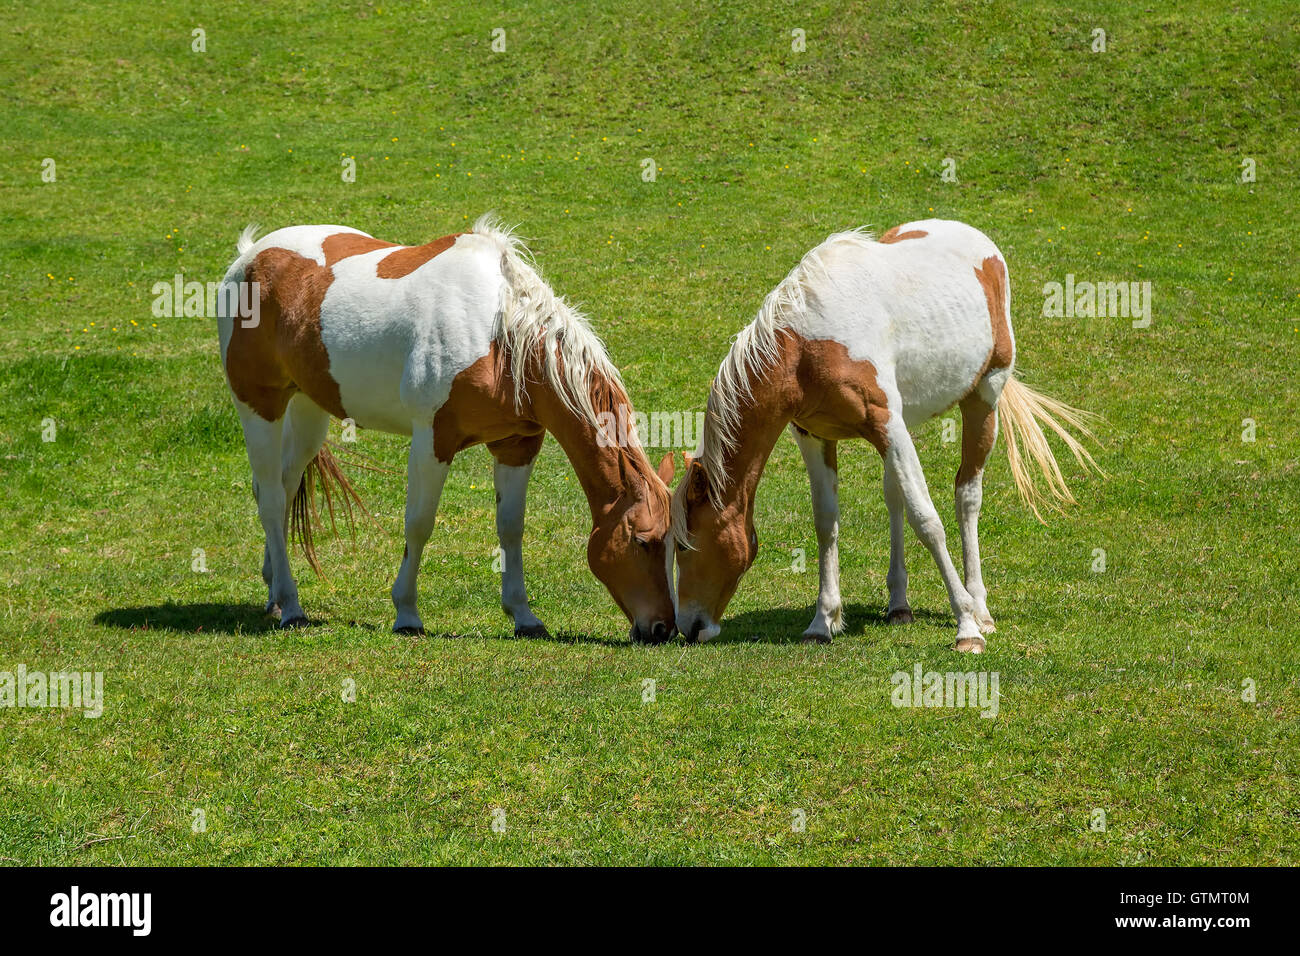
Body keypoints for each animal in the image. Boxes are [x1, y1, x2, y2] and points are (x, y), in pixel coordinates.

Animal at [217, 214, 676, 642]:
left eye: (674, 544)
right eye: (641, 540)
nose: (663, 629)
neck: (500, 338)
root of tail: (249, 257)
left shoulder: (517, 445)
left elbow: (511, 528)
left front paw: (523, 616)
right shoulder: (432, 442)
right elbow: (419, 524)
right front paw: (406, 614)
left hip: (308, 410)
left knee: (283, 486)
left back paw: (275, 593)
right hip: (258, 406)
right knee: (271, 499)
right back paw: (291, 606)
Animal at [670, 218, 1097, 650]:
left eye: (685, 545)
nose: (687, 627)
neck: (806, 346)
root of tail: (978, 241)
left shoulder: (888, 425)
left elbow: (928, 522)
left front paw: (966, 627)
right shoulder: (814, 435)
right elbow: (827, 522)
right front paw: (822, 621)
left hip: (983, 398)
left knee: (967, 497)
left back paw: (980, 607)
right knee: (895, 498)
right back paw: (899, 605)